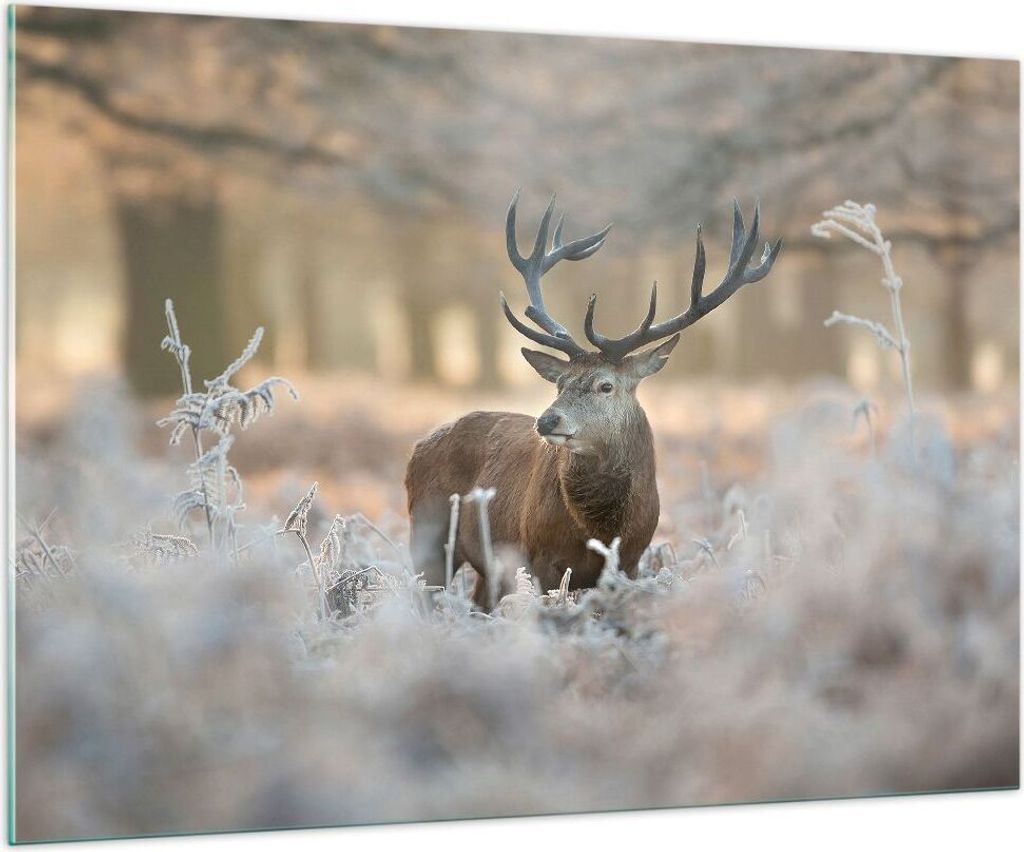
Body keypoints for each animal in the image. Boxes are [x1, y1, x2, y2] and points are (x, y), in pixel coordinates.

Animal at [405, 191, 782, 610]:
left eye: (606, 386)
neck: (600, 528)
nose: (547, 421)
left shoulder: (631, 561)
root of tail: (418, 446)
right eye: (559, 383)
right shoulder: (538, 557)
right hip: (427, 531)